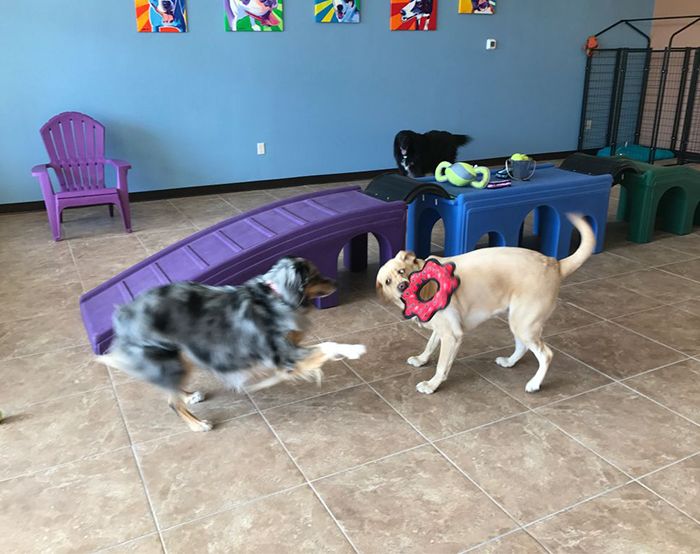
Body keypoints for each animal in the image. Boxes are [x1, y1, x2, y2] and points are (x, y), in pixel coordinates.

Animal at [378, 213, 596, 394]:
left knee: (546, 354)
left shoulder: (452, 335)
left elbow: (441, 365)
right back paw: (509, 362)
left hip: (524, 324)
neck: (427, 285)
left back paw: (534, 384)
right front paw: (422, 359)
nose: (403, 286)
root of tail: (554, 264)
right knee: (523, 347)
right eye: (387, 281)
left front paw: (432, 385)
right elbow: (430, 345)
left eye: (402, 271)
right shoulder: (442, 328)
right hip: (518, 322)